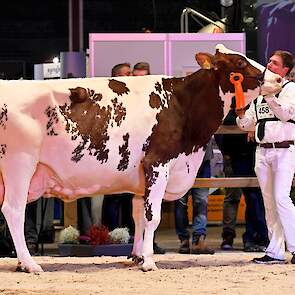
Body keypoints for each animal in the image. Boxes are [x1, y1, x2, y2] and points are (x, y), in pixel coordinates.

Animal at [0, 44, 284, 272]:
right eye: (239, 63)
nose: (279, 78)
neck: (181, 103)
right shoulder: (158, 164)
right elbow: (153, 216)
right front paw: (148, 261)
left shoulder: (141, 178)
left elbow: (138, 215)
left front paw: (136, 256)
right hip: (19, 164)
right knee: (13, 211)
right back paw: (29, 263)